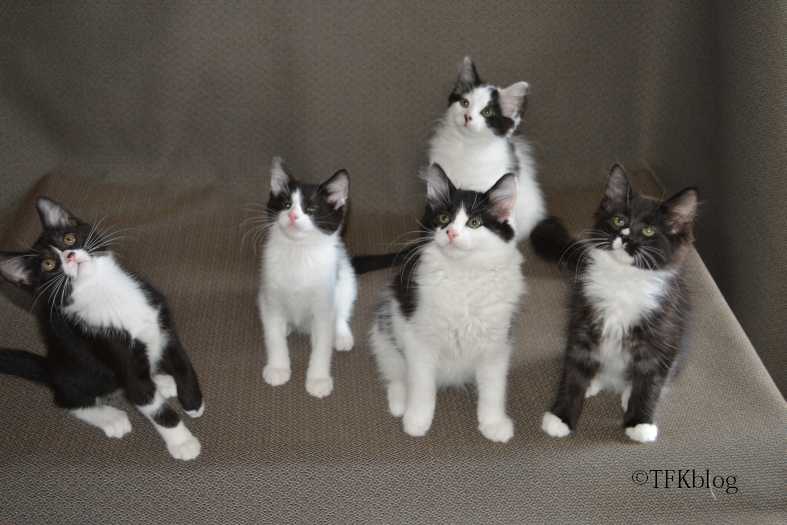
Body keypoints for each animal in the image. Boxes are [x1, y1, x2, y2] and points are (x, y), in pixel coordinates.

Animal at [0, 197, 204, 460]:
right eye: (48, 264)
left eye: (69, 238)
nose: (70, 255)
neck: (105, 291)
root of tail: (51, 367)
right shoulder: (116, 353)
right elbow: (154, 406)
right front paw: (182, 442)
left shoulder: (163, 324)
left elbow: (182, 363)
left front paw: (193, 401)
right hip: (79, 374)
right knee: (67, 399)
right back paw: (110, 417)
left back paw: (162, 381)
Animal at [258, 157, 357, 399]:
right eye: (285, 204)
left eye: (310, 209)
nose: (293, 215)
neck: (298, 253)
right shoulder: (271, 296)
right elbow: (273, 336)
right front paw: (278, 367)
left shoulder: (324, 306)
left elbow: (322, 346)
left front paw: (318, 379)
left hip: (346, 278)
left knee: (342, 309)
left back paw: (341, 335)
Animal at [370, 163, 524, 442]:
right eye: (443, 219)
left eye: (474, 223)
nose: (451, 232)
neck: (463, 273)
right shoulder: (419, 340)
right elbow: (421, 386)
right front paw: (417, 419)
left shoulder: (497, 343)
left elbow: (494, 388)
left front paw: (494, 423)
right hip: (385, 330)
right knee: (396, 374)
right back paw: (400, 403)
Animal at [531, 164, 698, 443]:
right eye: (619, 220)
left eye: (649, 231)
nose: (626, 238)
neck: (623, 279)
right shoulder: (582, 324)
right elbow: (573, 375)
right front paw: (561, 417)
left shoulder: (662, 335)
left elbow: (650, 383)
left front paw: (640, 422)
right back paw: (595, 381)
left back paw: (628, 392)